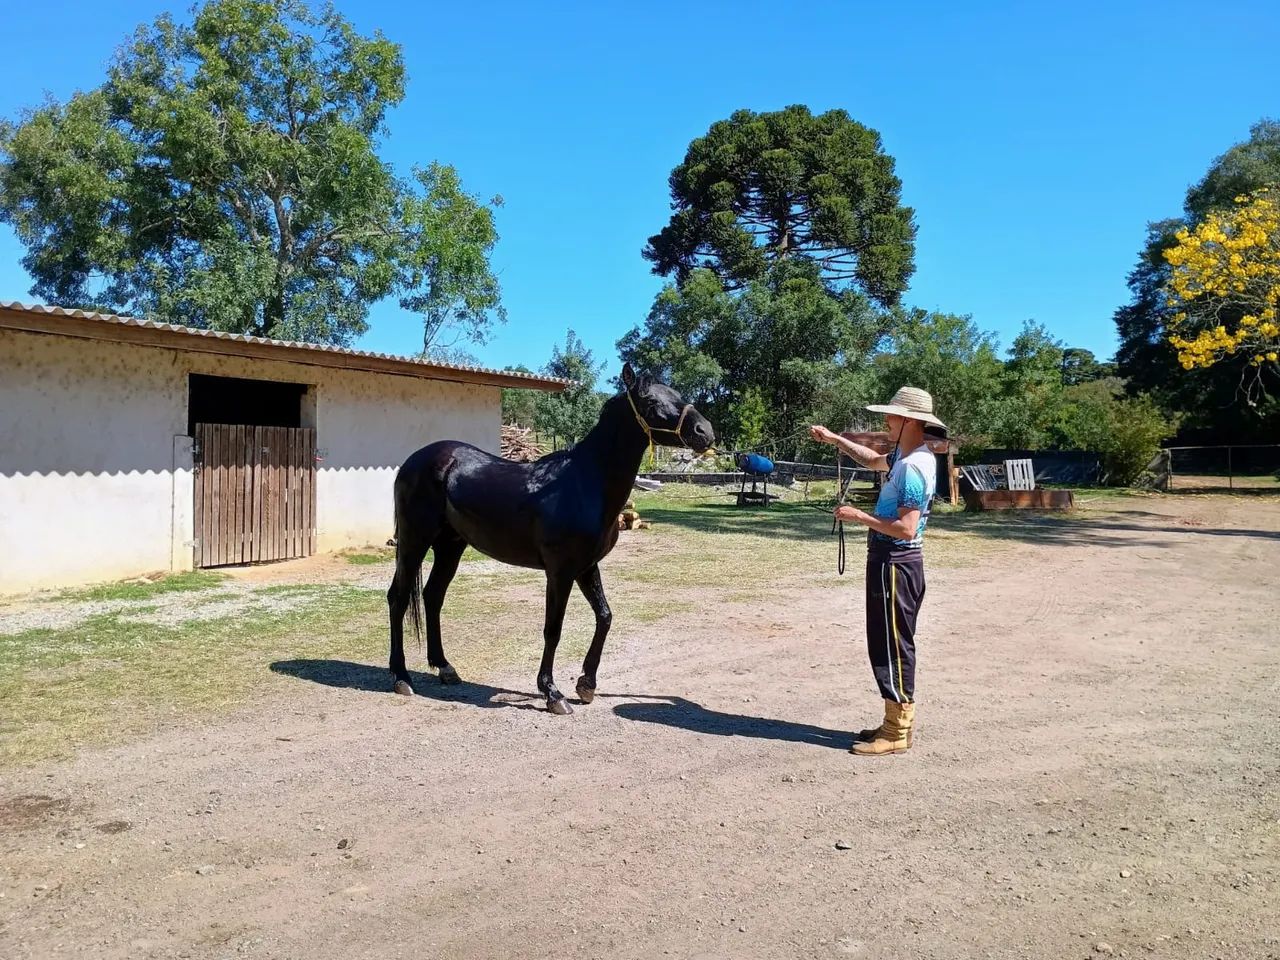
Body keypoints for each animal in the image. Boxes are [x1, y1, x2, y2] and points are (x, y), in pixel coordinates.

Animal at [386, 363, 715, 714]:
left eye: (676, 394)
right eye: (651, 402)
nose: (705, 432)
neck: (586, 483)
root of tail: (415, 461)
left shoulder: (586, 567)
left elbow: (605, 616)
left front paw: (586, 685)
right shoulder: (560, 572)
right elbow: (553, 629)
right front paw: (553, 693)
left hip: (450, 545)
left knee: (433, 596)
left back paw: (445, 668)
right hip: (414, 542)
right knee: (398, 598)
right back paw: (401, 677)